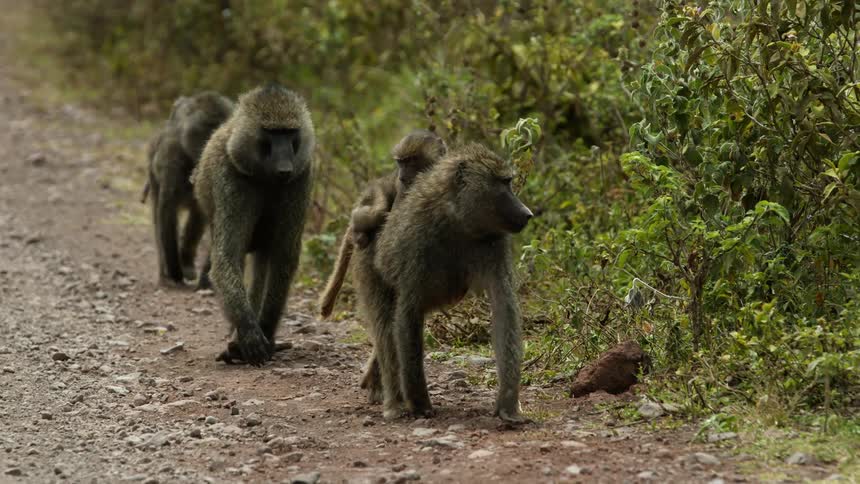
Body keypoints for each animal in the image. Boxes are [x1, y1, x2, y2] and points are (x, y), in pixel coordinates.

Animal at [143, 91, 234, 287]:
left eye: (217, 132)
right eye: (204, 133)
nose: (210, 149)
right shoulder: (171, 155)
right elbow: (167, 210)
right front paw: (174, 272)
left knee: (198, 213)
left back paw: (187, 260)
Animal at [191, 84, 315, 366]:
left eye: (289, 133)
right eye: (271, 133)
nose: (285, 168)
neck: (265, 176)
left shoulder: (301, 177)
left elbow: (284, 257)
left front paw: (265, 330)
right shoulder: (230, 177)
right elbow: (227, 256)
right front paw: (249, 335)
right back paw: (235, 343)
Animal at [317, 129, 447, 320]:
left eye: (411, 161)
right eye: (401, 162)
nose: (402, 176)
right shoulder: (402, 189)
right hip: (372, 194)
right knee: (376, 212)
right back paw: (358, 232)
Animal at [357, 143, 533, 422]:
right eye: (504, 183)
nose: (527, 214)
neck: (456, 218)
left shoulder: (495, 242)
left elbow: (504, 307)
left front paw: (507, 405)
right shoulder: (416, 243)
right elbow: (408, 312)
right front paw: (419, 403)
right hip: (369, 262)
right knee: (386, 328)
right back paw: (394, 403)